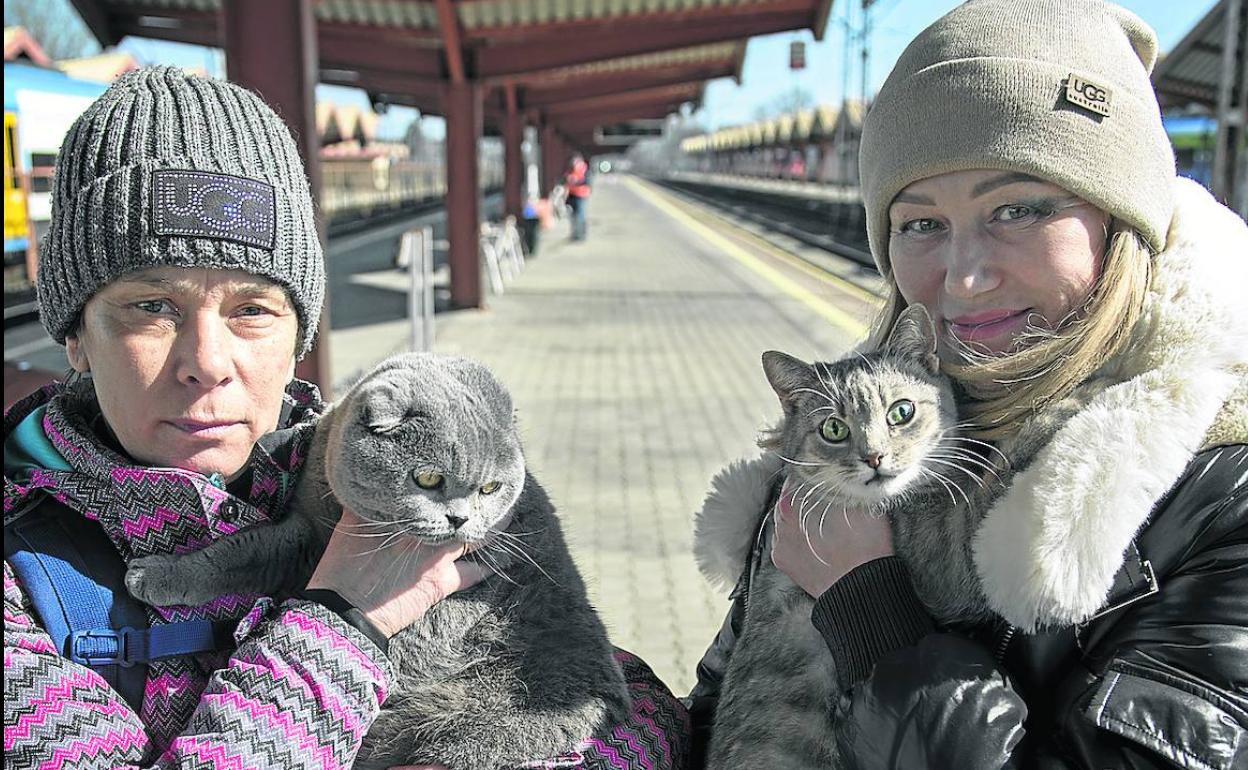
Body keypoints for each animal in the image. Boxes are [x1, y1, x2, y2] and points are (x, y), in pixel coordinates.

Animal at [125, 351, 628, 768]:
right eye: (428, 478)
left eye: (490, 488)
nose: (461, 519)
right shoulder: (304, 533)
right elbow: (241, 553)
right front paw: (157, 573)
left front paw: (150, 576)